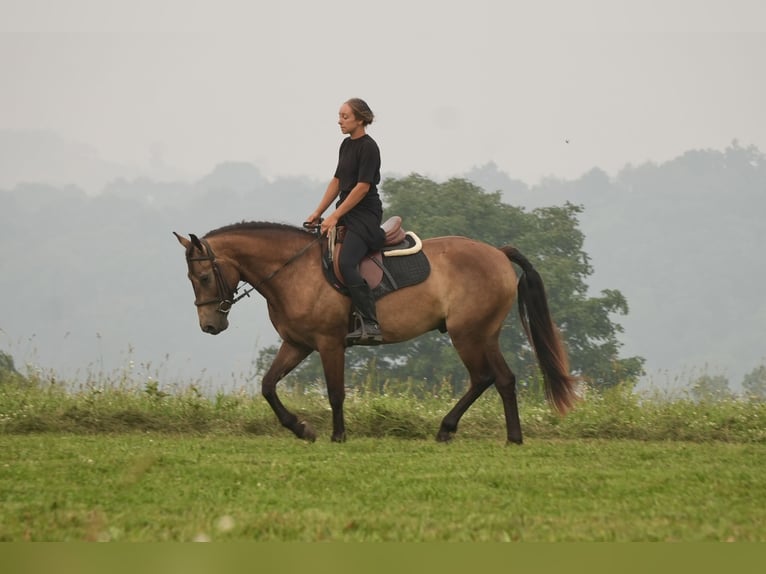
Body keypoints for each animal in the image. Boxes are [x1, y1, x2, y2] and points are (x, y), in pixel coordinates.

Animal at [174, 221, 578, 444]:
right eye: (192, 278)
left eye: (205, 276)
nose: (210, 325)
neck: (293, 271)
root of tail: (497, 253)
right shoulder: (298, 344)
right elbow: (268, 386)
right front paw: (301, 428)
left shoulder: (329, 343)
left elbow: (336, 392)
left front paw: (337, 435)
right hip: (483, 334)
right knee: (502, 379)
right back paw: (509, 437)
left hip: (469, 334)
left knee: (485, 377)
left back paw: (452, 429)